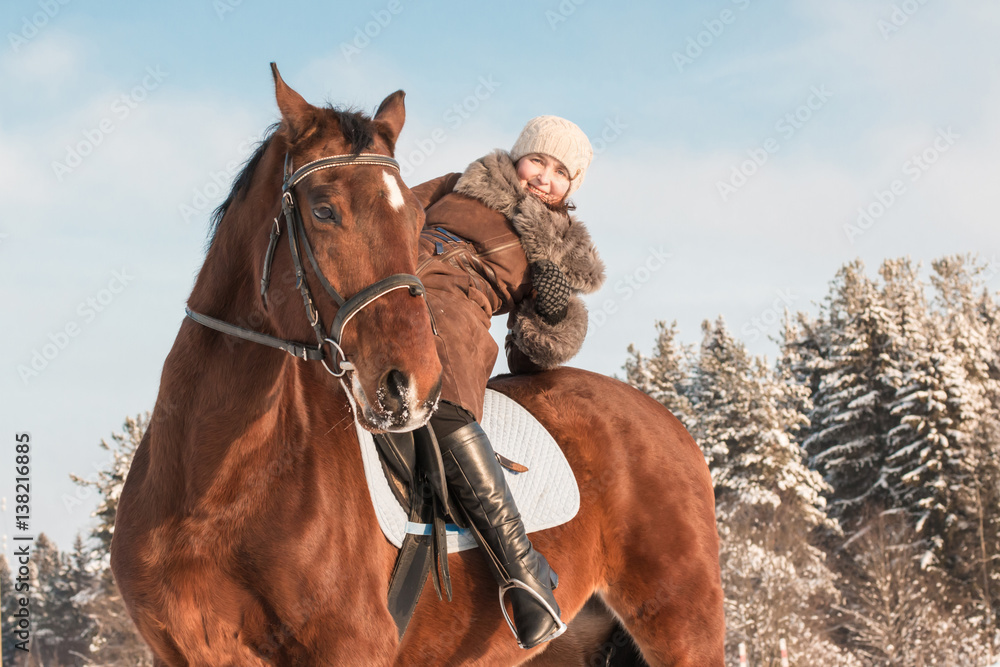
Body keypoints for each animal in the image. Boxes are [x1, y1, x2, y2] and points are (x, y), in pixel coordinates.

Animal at [110, 64, 725, 666]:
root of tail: (668, 421)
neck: (213, 490)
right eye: (323, 209)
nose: (410, 387)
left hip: (681, 625)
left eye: (409, 216)